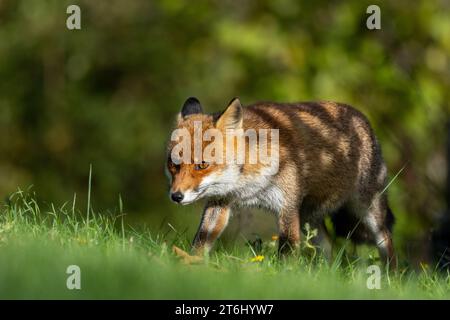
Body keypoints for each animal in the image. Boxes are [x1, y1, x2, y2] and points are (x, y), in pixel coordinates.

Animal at [165, 96, 394, 266]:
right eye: (173, 164)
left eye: (202, 165)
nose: (176, 196)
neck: (246, 185)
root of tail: (361, 117)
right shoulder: (220, 201)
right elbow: (201, 240)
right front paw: (190, 264)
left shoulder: (287, 208)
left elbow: (286, 255)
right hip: (308, 217)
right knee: (328, 245)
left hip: (369, 210)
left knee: (387, 242)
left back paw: (391, 277)